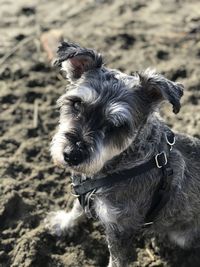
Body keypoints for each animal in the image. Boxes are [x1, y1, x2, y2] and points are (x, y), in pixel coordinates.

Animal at [45, 42, 200, 267]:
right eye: (76, 104)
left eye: (117, 125)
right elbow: (76, 208)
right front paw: (62, 223)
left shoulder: (120, 229)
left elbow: (117, 260)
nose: (72, 155)